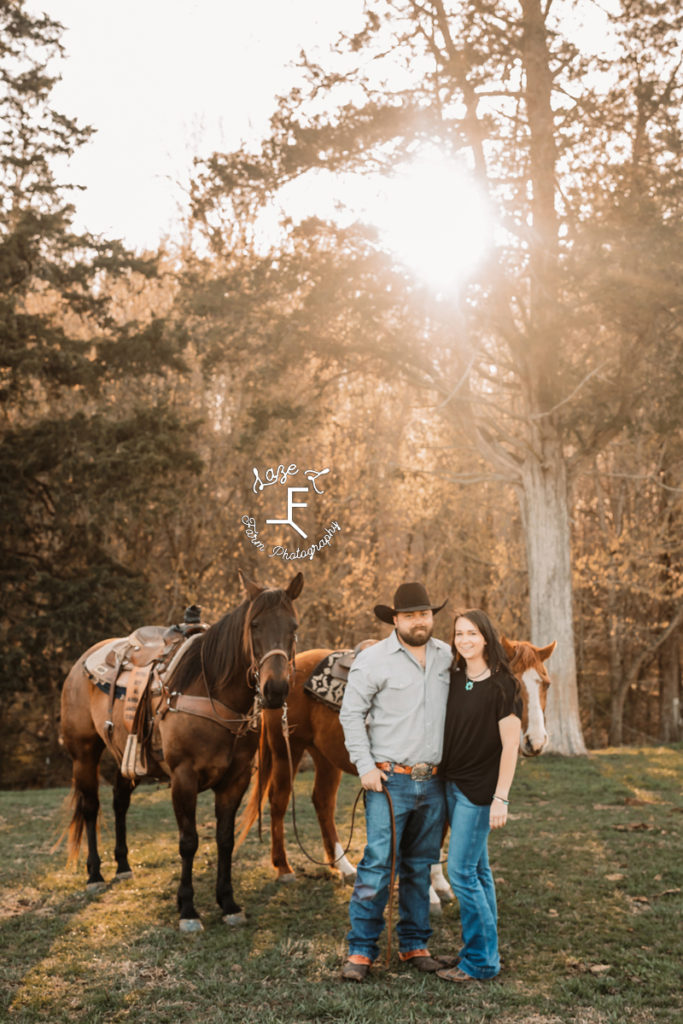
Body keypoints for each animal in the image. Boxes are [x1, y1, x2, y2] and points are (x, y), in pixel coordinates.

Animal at [57, 573, 303, 933]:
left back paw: (123, 866)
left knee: (119, 804)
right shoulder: (183, 779)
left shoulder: (236, 780)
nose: (275, 690)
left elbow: (225, 840)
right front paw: (187, 909)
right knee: (90, 808)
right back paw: (95, 875)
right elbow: (189, 842)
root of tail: (82, 662)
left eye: (294, 626)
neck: (213, 694)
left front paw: (228, 904)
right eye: (255, 624)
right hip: (84, 754)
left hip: (125, 756)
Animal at [237, 634, 557, 901]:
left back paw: (343, 867)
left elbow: (439, 832)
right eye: (512, 685)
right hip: (286, 751)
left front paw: (440, 884)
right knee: (279, 801)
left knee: (323, 802)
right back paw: (283, 868)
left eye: (546, 684)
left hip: (325, 757)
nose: (536, 741)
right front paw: (428, 893)